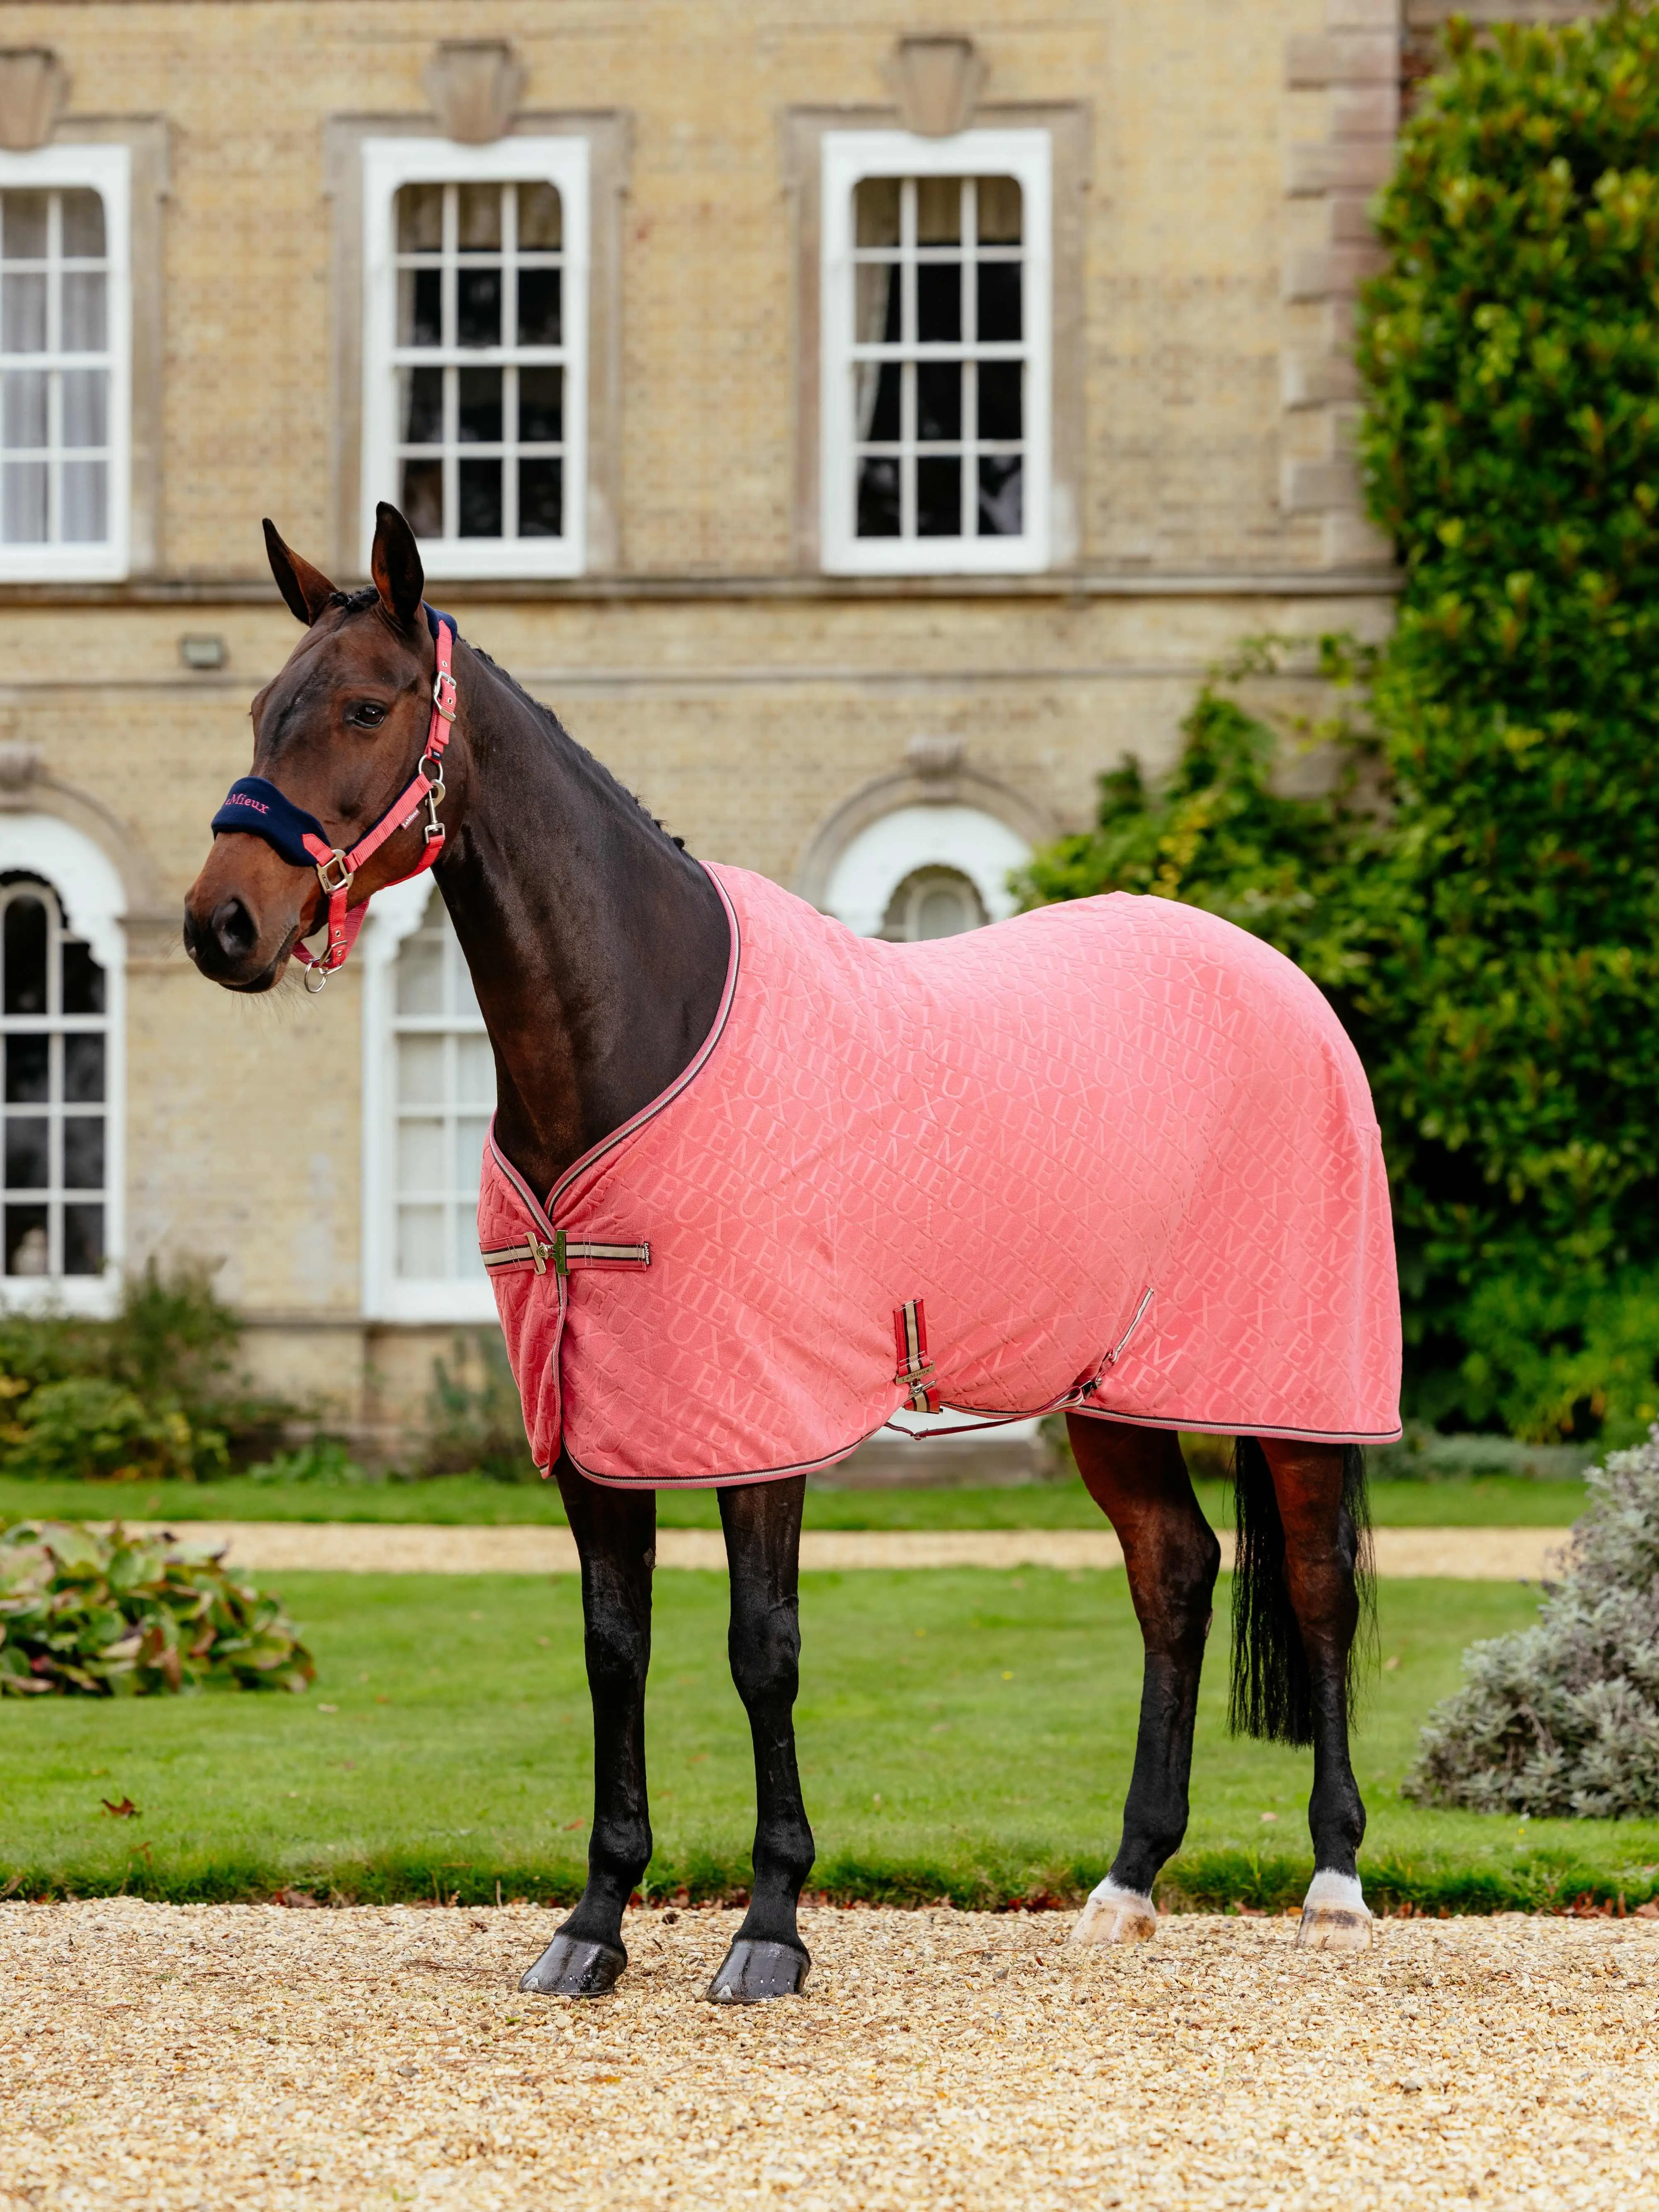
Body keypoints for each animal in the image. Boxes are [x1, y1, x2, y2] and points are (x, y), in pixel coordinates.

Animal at [184, 501, 1398, 2002]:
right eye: (260, 706)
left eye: (365, 705)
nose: (220, 922)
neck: (645, 1022)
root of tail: (1280, 977)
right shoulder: (596, 1420)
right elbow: (614, 1647)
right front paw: (594, 1922)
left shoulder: (760, 1419)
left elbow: (762, 1649)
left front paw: (770, 1925)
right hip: (1113, 1389)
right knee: (1173, 1576)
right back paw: (1126, 1882)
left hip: (1293, 1383)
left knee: (1317, 1585)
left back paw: (1336, 1884)